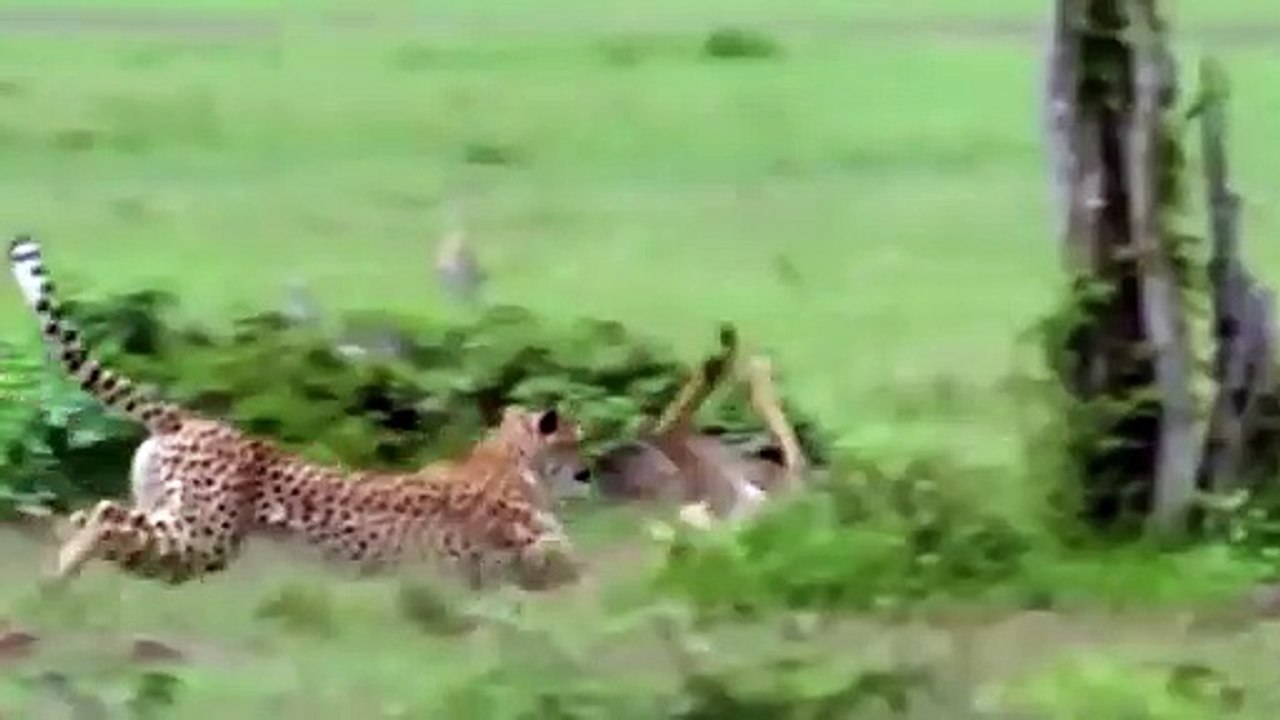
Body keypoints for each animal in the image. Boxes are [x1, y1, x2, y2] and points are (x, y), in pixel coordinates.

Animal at [8, 235, 591, 592]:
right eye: (579, 437)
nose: (590, 470)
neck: (512, 459)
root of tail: (195, 419)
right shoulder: (537, 555)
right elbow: (577, 572)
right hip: (203, 538)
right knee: (105, 517)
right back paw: (57, 583)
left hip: (174, 520)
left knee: (96, 514)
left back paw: (56, 576)